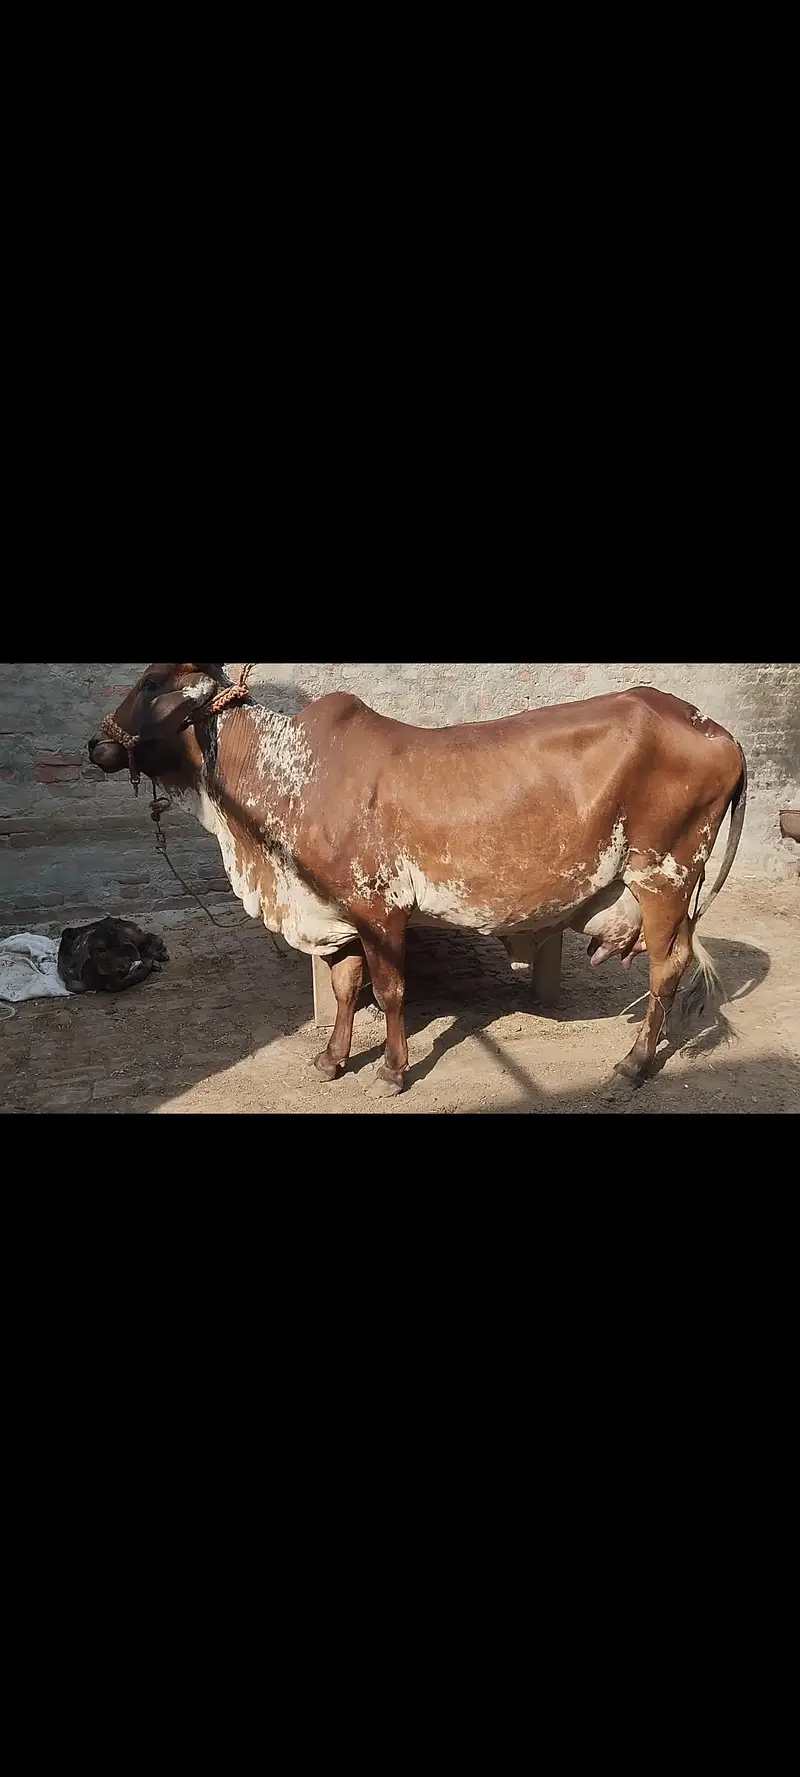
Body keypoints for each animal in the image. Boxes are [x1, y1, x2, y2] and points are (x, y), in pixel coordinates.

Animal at [88, 664, 747, 1095]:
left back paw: (635, 1063)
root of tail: (716, 729)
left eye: (151, 684)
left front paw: (391, 1070)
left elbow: (389, 992)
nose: (96, 744)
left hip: (663, 874)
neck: (284, 775)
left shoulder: (379, 910)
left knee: (667, 967)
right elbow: (346, 990)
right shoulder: (337, 912)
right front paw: (332, 1060)